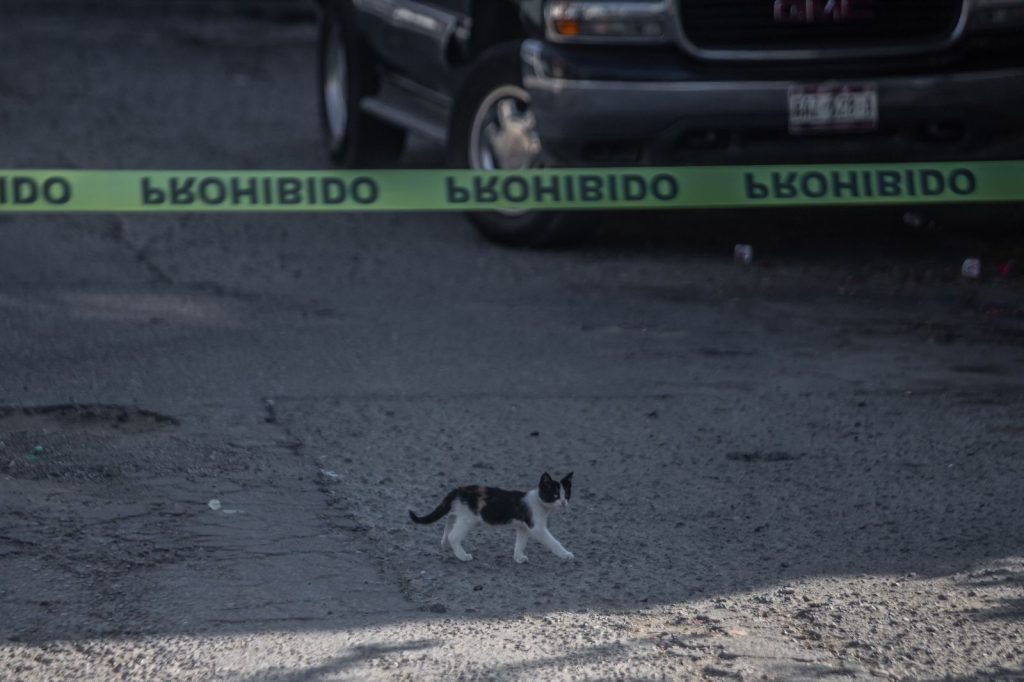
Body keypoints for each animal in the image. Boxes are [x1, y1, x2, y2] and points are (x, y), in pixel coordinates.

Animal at [407, 471, 573, 561]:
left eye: (567, 495)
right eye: (555, 495)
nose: (564, 502)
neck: (539, 501)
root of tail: (459, 489)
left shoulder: (523, 527)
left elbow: (520, 542)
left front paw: (518, 557)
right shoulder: (537, 527)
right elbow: (553, 542)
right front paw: (566, 554)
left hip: (461, 513)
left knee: (450, 519)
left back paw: (444, 543)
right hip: (468, 519)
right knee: (453, 535)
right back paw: (462, 555)